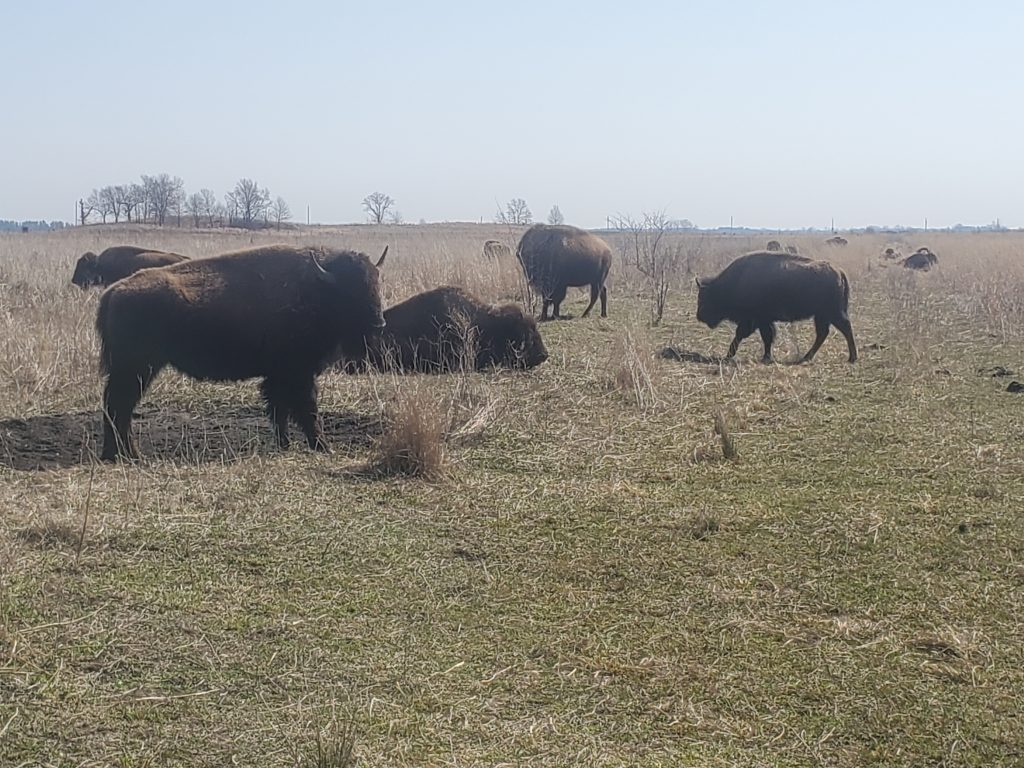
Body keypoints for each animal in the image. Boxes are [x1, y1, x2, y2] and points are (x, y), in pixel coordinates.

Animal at [96, 244, 387, 460]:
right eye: (350, 291)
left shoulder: (279, 375)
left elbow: (279, 410)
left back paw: (121, 453)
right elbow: (306, 409)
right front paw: (323, 446)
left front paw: (284, 444)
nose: (379, 323)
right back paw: (124, 454)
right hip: (137, 368)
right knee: (118, 405)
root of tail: (112, 292)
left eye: (376, 283)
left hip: (137, 369)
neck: (317, 289)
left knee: (119, 406)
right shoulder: (297, 374)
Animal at [696, 251, 857, 363]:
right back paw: (807, 357)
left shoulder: (754, 320)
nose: (699, 316)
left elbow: (744, 334)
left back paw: (852, 358)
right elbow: (767, 337)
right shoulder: (764, 321)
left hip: (833, 313)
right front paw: (766, 356)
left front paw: (729, 355)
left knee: (845, 329)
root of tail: (839, 272)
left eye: (705, 298)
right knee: (823, 334)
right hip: (822, 316)